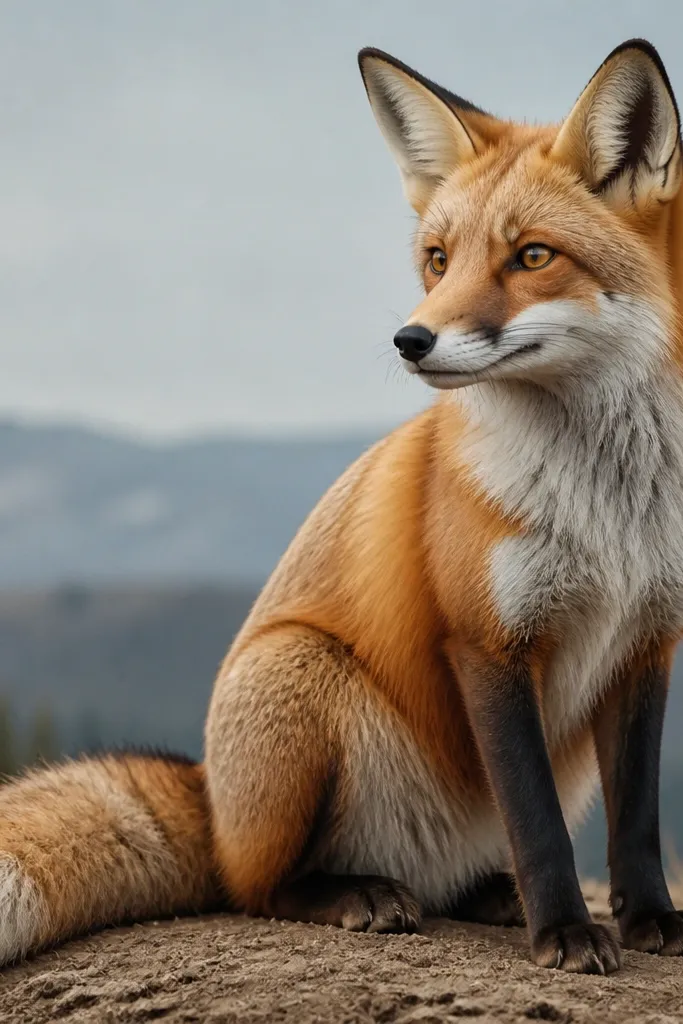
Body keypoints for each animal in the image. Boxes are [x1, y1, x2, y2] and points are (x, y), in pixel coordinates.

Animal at [3, 38, 683, 977]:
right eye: (437, 258)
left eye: (532, 257)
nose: (411, 339)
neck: (608, 510)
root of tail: (212, 804)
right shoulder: (484, 640)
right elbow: (538, 823)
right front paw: (566, 934)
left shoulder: (646, 641)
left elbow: (638, 821)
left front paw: (651, 920)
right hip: (298, 673)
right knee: (256, 890)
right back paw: (353, 894)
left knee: (459, 872)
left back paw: (483, 896)